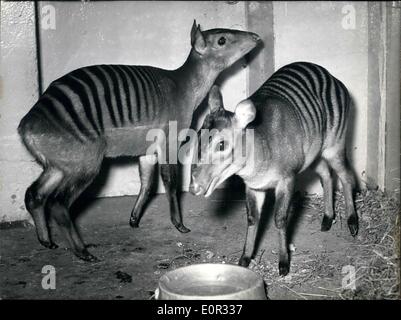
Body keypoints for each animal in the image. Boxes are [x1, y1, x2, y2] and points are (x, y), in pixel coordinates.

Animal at [18, 20, 260, 262]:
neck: (184, 87)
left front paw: (134, 219)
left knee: (34, 194)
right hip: (85, 161)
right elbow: (170, 182)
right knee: (58, 204)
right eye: (222, 40)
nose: (256, 37)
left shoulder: (147, 149)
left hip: (61, 165)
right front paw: (179, 224)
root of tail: (27, 126)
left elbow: (146, 182)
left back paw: (46, 240)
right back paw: (82, 251)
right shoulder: (169, 142)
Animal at [190, 62, 356, 276]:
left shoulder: (287, 179)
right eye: (198, 138)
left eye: (221, 144)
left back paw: (352, 222)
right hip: (313, 154)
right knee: (326, 175)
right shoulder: (253, 187)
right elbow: (253, 218)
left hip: (334, 144)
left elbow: (280, 219)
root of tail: (334, 79)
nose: (195, 186)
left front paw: (284, 263)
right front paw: (245, 258)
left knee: (346, 175)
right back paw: (327, 218)